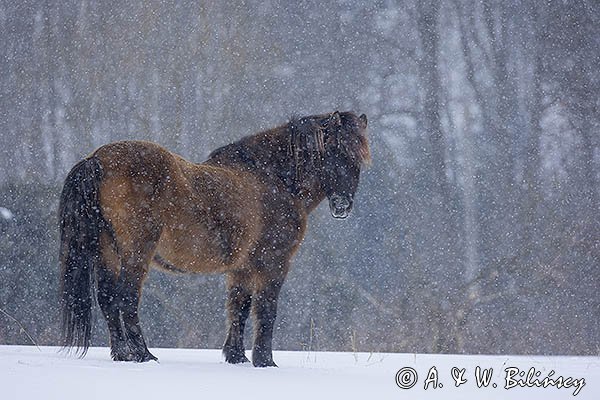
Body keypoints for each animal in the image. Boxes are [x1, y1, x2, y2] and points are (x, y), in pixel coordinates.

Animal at [61, 109, 370, 366]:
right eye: (333, 151)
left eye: (358, 159)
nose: (342, 205)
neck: (272, 179)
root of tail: (97, 159)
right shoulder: (274, 264)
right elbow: (266, 310)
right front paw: (265, 361)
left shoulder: (242, 268)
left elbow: (239, 309)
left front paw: (236, 357)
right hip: (137, 252)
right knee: (125, 298)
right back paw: (143, 355)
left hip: (108, 251)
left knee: (107, 299)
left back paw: (123, 355)